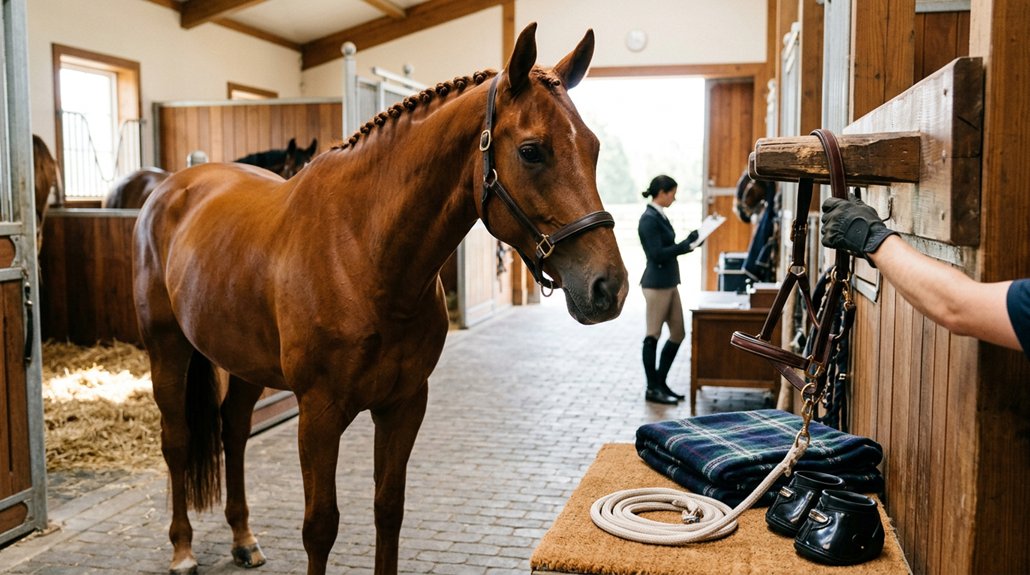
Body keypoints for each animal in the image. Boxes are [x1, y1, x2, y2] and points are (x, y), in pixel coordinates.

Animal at [133, 23, 625, 575]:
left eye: (593, 148)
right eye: (532, 151)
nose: (608, 286)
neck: (361, 251)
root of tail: (170, 186)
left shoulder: (403, 404)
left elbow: (389, 509)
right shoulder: (319, 413)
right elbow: (320, 526)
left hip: (242, 363)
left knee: (233, 431)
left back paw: (244, 538)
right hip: (167, 348)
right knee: (176, 441)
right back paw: (181, 549)